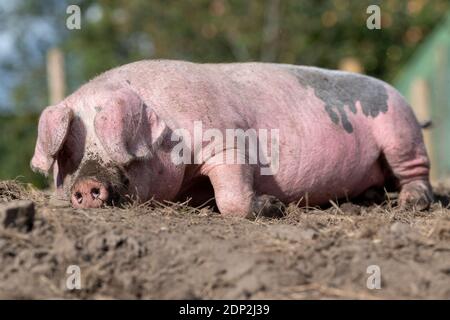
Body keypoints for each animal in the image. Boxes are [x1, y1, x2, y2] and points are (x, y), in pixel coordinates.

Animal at [29, 60, 434, 218]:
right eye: (67, 154)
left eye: (125, 153)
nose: (86, 186)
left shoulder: (227, 141)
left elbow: (232, 195)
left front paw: (274, 206)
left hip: (401, 130)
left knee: (417, 172)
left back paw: (411, 203)